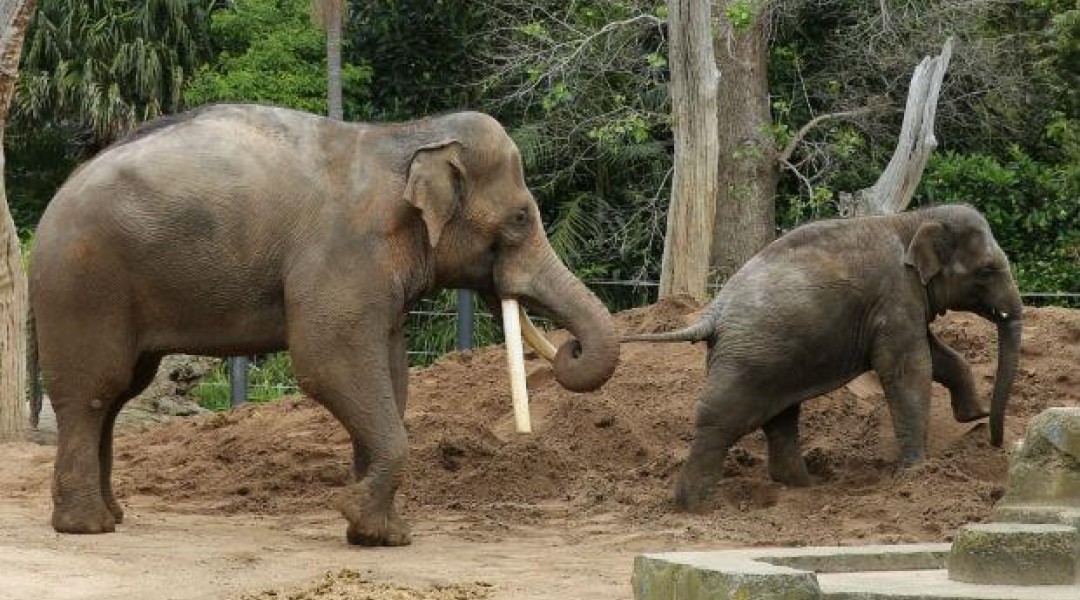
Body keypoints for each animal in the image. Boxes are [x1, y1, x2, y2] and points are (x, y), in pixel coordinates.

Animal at [30, 104, 620, 546]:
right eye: (521, 218)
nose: (569, 350)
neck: (407, 136)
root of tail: (57, 196)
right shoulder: (344, 255)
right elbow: (328, 361)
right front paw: (358, 515)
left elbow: (390, 374)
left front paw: (381, 536)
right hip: (84, 285)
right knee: (94, 391)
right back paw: (87, 527)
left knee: (118, 395)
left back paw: (112, 515)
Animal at [624, 205, 1022, 512]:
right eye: (986, 270)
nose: (995, 443)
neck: (915, 218)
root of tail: (714, 311)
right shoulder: (895, 295)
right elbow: (907, 367)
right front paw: (915, 474)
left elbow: (938, 356)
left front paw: (972, 415)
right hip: (746, 359)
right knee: (720, 420)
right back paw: (700, 507)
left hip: (768, 358)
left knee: (781, 418)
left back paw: (801, 487)